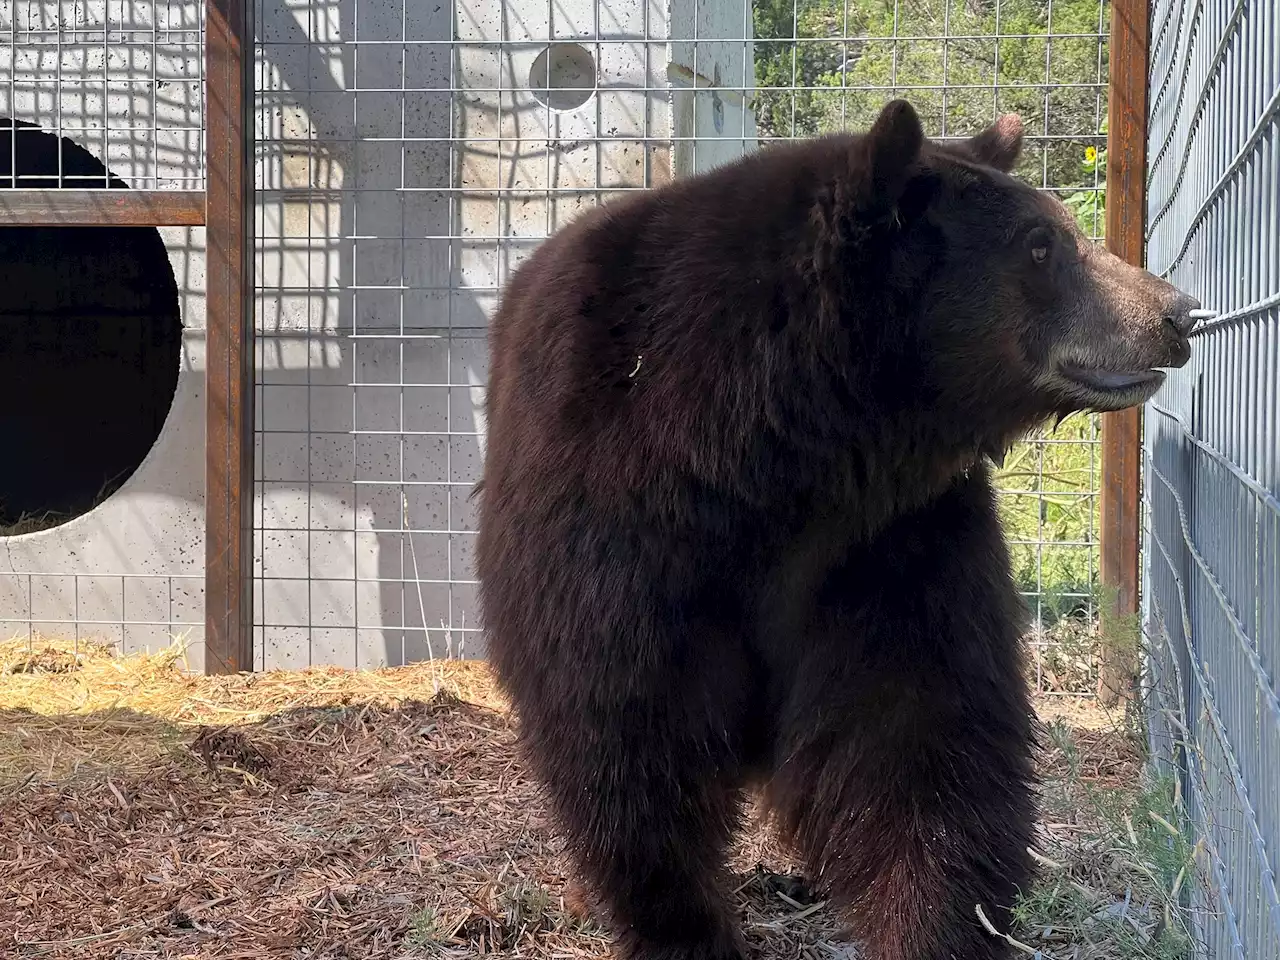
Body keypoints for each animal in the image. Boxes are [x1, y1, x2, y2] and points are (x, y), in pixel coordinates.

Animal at [473, 99, 1198, 960]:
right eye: (1042, 243)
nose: (1177, 313)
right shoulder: (616, 528)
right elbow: (628, 739)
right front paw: (685, 929)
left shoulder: (886, 542)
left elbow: (917, 736)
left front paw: (934, 926)